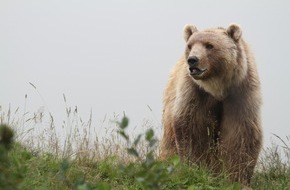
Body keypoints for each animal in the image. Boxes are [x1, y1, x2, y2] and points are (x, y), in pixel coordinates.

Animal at [160, 23, 264, 186]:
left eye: (209, 45)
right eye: (190, 45)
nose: (192, 60)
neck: (218, 88)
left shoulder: (241, 92)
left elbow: (240, 134)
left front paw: (236, 178)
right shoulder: (195, 93)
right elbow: (193, 128)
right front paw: (198, 168)